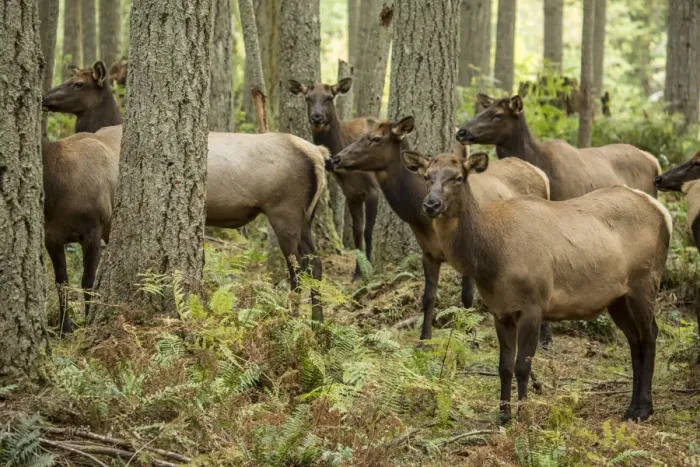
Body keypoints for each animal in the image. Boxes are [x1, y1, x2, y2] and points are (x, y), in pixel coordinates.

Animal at [288, 78, 381, 282]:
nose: (317, 117)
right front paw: (357, 274)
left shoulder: (373, 190)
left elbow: (368, 231)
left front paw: (369, 273)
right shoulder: (352, 194)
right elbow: (357, 232)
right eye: (308, 98)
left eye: (329, 98)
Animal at [331, 117, 550, 341]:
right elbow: (428, 297)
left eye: (375, 138)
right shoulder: (428, 252)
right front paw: (424, 337)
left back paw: (545, 336)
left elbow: (467, 296)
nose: (336, 159)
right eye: (361, 135)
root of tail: (541, 174)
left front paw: (470, 337)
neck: (423, 222)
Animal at [401, 148, 671, 424]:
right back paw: (631, 408)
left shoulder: (533, 304)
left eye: (458, 177)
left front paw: (522, 416)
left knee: (650, 335)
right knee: (634, 340)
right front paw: (503, 415)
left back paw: (644, 409)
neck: (492, 257)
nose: (431, 205)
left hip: (645, 281)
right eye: (427, 176)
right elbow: (504, 366)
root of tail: (663, 213)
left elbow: (523, 366)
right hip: (618, 297)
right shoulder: (500, 310)